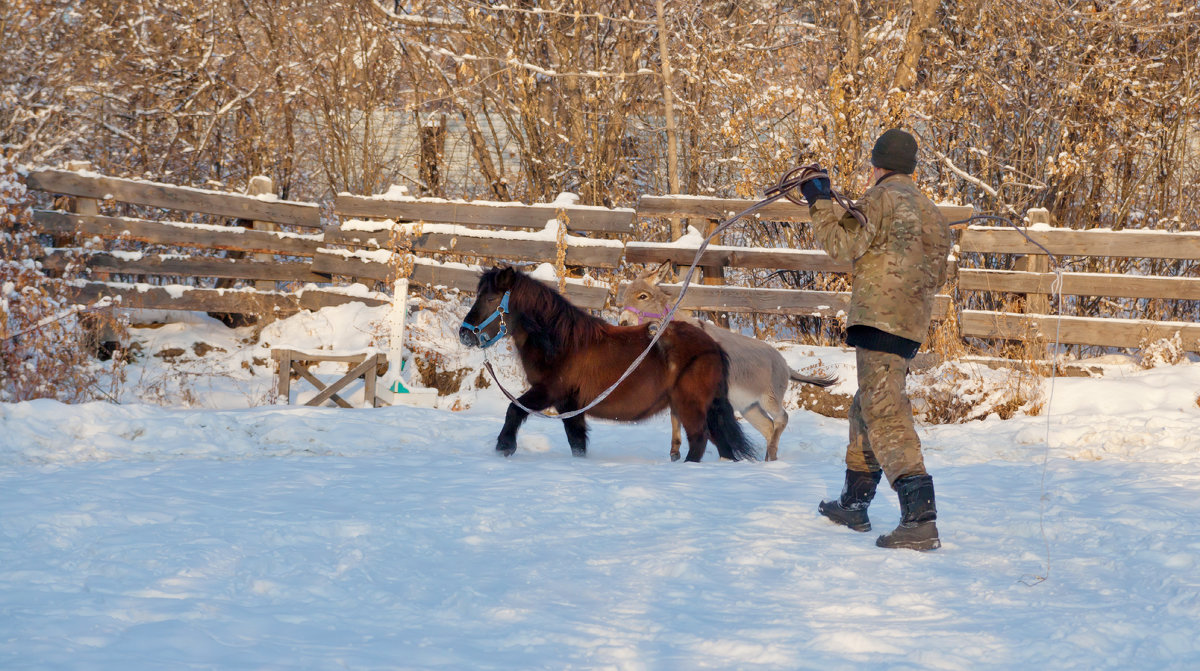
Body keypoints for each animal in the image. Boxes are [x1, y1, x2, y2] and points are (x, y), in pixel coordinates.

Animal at [453, 267, 753, 460]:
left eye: (491, 298)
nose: (465, 334)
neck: (563, 343)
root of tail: (712, 346)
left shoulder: (549, 392)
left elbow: (514, 410)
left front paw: (505, 447)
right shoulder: (569, 404)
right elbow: (576, 441)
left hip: (689, 406)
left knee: (699, 442)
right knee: (722, 446)